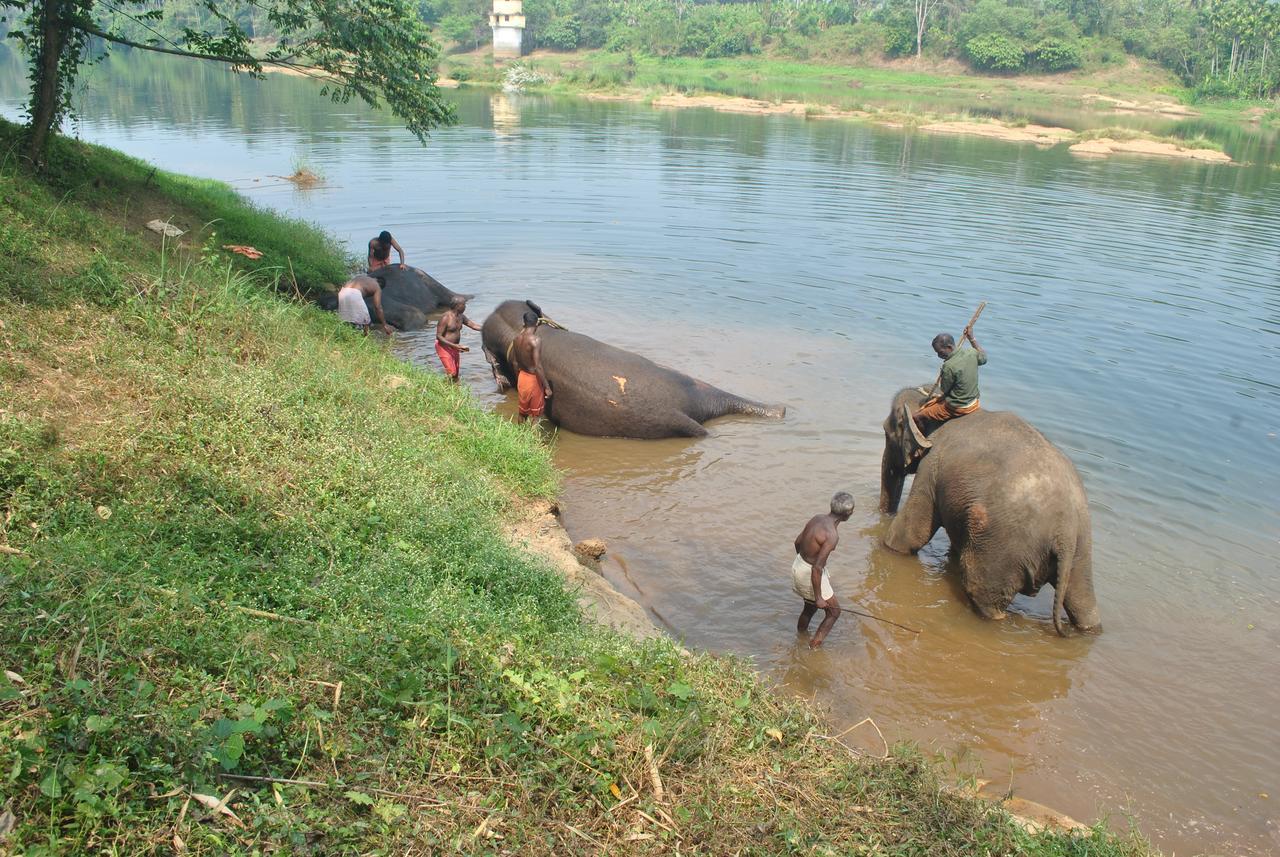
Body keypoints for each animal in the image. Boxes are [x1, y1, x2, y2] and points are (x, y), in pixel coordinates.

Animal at [880, 383, 1100, 636]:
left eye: (887, 432)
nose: (883, 515)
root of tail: (1065, 531)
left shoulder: (931, 466)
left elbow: (911, 533)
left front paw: (885, 544)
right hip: (1081, 549)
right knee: (1084, 604)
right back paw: (1089, 628)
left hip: (1004, 549)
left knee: (982, 593)